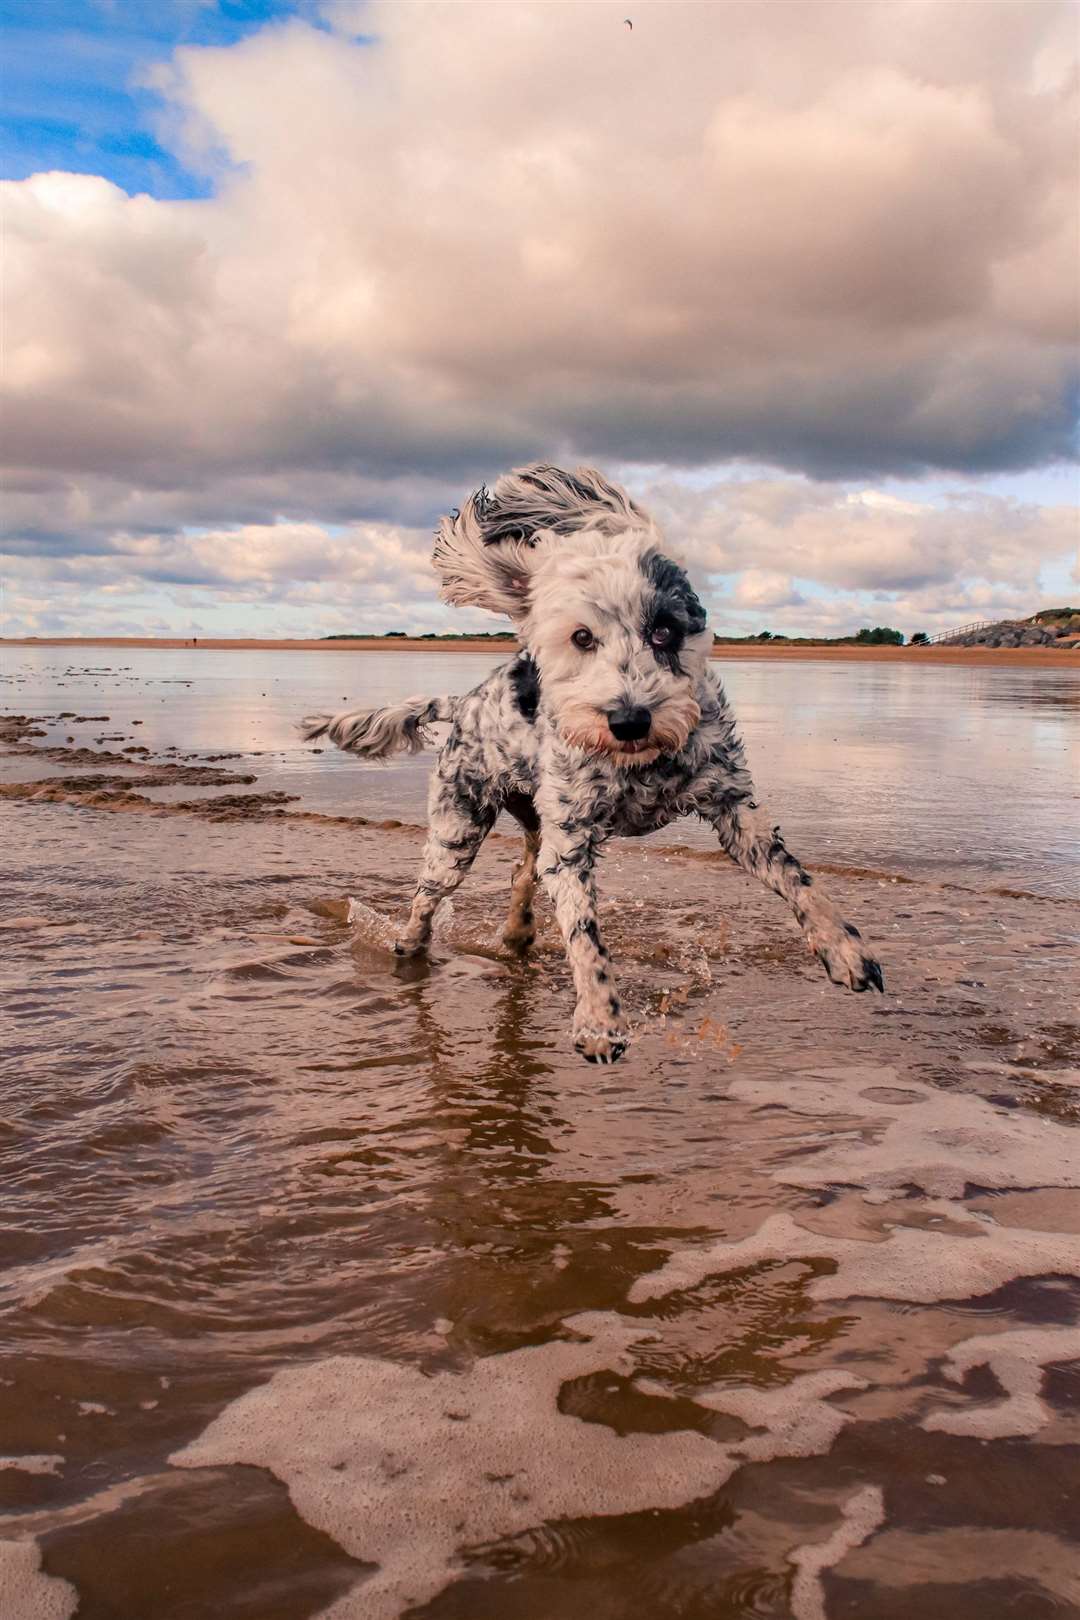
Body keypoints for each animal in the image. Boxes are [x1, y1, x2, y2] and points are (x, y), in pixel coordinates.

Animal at [299, 466, 880, 1062]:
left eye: (664, 629)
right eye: (582, 637)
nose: (630, 719)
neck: (641, 765)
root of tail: (464, 703)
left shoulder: (734, 809)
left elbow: (801, 882)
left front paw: (845, 951)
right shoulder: (571, 839)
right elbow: (585, 935)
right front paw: (600, 1020)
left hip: (533, 818)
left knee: (522, 868)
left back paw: (517, 932)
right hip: (458, 829)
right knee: (426, 898)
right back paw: (411, 946)